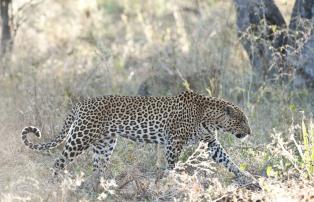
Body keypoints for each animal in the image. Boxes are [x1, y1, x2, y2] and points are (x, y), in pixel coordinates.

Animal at [20, 91, 260, 189]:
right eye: (242, 121)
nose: (249, 132)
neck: (210, 117)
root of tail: (81, 104)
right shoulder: (173, 142)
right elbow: (171, 165)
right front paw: (169, 181)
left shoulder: (211, 143)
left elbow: (228, 161)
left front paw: (247, 176)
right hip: (81, 136)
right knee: (58, 162)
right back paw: (54, 184)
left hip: (105, 144)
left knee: (97, 168)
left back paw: (100, 186)